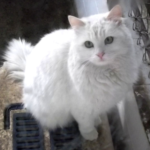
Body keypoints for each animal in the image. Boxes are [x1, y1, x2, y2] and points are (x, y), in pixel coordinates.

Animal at [3, 4, 141, 141]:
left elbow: (93, 116)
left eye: (109, 40)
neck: (105, 72)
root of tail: (26, 72)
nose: (100, 55)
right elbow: (85, 123)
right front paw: (91, 135)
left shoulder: (98, 102)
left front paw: (97, 121)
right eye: (88, 44)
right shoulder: (80, 106)